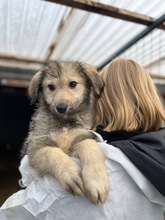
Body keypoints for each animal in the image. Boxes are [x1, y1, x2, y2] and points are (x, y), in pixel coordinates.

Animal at [22, 60, 109, 205]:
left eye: (72, 84)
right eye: (51, 87)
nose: (61, 108)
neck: (64, 123)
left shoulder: (81, 136)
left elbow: (89, 145)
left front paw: (96, 180)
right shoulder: (35, 148)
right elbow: (52, 152)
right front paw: (70, 174)